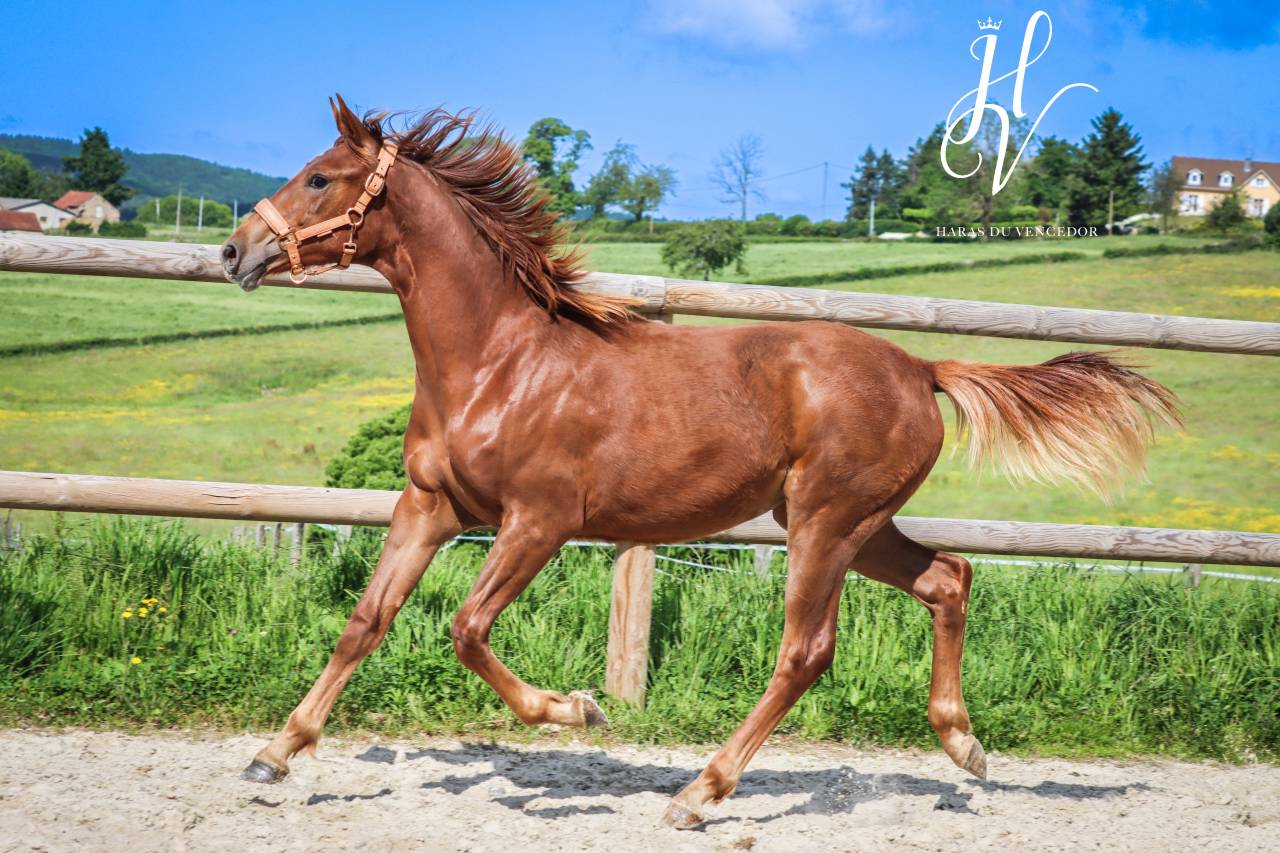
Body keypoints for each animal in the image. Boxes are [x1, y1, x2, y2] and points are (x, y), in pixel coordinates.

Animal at [221, 95, 1180, 828]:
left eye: (320, 177)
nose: (235, 250)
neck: (500, 360)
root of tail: (920, 366)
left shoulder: (539, 521)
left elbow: (466, 628)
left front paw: (578, 707)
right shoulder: (431, 505)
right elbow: (366, 620)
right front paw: (274, 754)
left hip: (826, 522)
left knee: (806, 649)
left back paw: (699, 793)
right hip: (850, 522)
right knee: (950, 576)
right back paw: (963, 743)